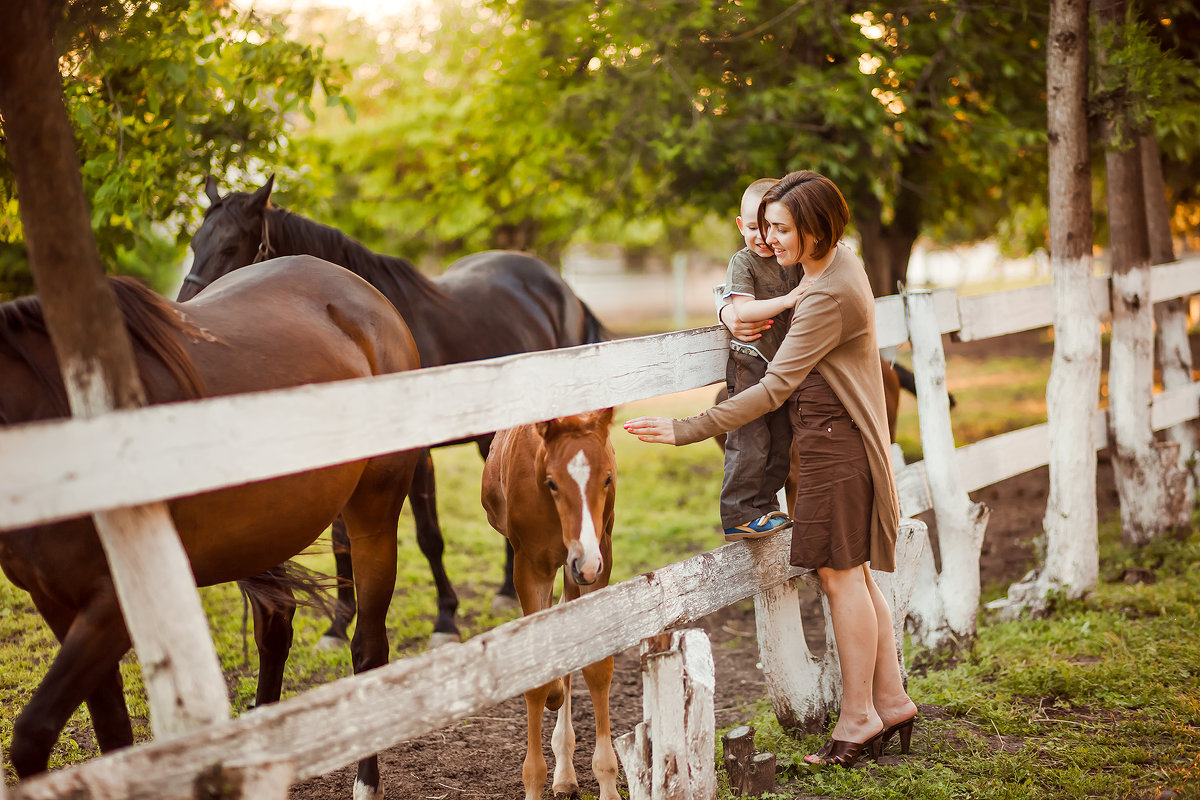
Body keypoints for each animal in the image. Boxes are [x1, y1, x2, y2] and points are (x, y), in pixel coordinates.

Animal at [0, 256, 422, 800]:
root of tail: (368, 298)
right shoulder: (54, 600)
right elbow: (109, 731)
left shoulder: (116, 605)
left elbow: (33, 735)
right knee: (276, 629)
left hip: (373, 518)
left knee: (368, 649)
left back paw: (365, 783)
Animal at [182, 176, 614, 652]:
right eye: (194, 242)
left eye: (232, 245)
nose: (186, 315)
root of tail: (561, 288)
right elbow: (342, 543)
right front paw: (338, 626)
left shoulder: (416, 456)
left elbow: (429, 537)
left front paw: (445, 620)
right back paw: (504, 589)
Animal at [480, 410, 624, 800]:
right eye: (552, 483)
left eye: (607, 478)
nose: (585, 562)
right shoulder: (530, 567)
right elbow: (537, 678)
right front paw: (533, 783)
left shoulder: (600, 555)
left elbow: (597, 666)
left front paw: (607, 782)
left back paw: (565, 770)